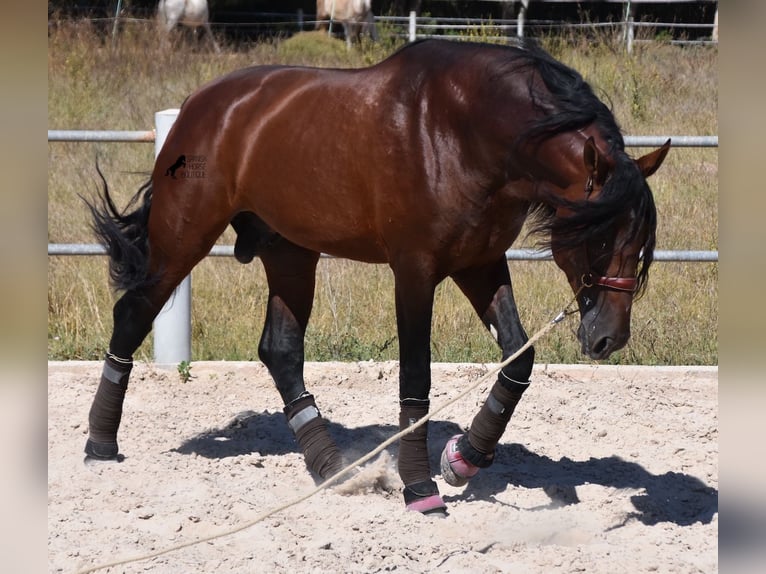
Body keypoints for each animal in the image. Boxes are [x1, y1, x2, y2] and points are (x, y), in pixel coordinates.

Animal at [85, 40, 672, 516]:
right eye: (600, 236)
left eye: (641, 243)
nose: (609, 338)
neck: (464, 130)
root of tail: (199, 105)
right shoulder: (414, 272)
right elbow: (416, 378)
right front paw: (421, 489)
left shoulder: (479, 262)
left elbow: (518, 358)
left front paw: (464, 458)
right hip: (183, 240)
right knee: (133, 312)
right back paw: (99, 445)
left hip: (290, 252)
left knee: (280, 349)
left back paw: (331, 468)